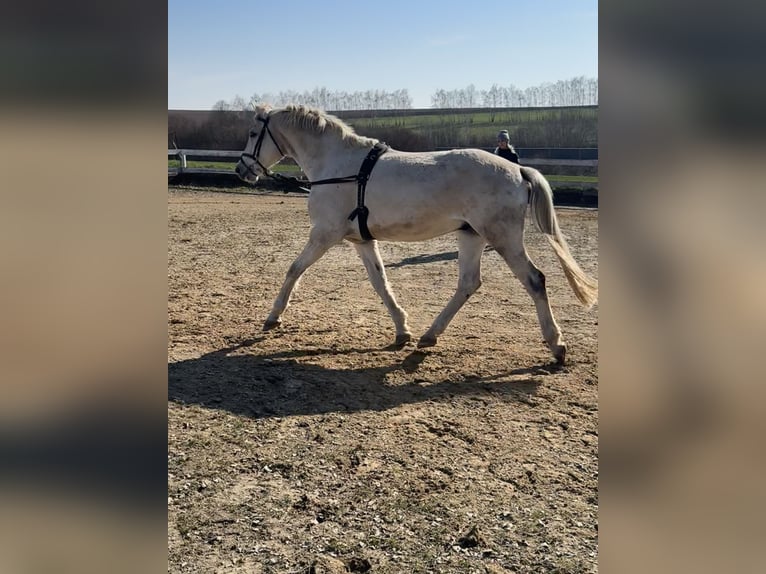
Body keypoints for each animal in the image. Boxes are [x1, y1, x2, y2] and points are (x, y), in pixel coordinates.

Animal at [235, 105, 597, 364]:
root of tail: (518, 170)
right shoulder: (361, 240)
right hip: (472, 236)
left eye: (253, 133)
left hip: (503, 238)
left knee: (534, 280)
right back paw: (429, 336)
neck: (338, 167)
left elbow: (294, 269)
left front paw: (273, 317)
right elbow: (380, 282)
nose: (242, 170)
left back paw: (557, 345)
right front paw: (402, 329)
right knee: (469, 283)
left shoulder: (325, 233)